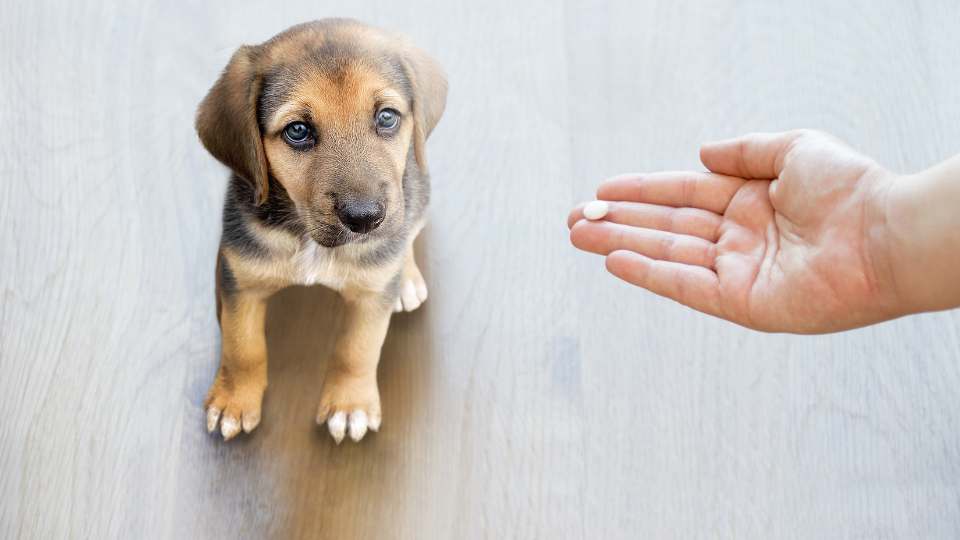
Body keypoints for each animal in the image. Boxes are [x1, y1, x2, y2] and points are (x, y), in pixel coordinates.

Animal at [198, 20, 450, 442]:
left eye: (387, 117)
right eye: (298, 130)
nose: (365, 219)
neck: (308, 239)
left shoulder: (371, 296)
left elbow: (357, 349)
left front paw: (350, 406)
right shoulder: (239, 279)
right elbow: (242, 346)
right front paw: (234, 400)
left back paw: (407, 277)